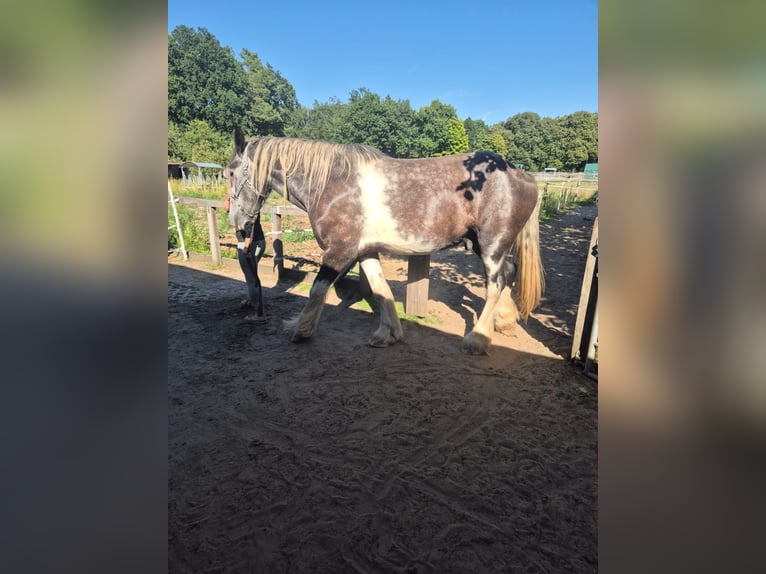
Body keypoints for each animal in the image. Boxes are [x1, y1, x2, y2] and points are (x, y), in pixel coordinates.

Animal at [225, 128, 544, 355]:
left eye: (229, 173)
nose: (239, 224)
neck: (331, 184)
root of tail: (521, 174)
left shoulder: (339, 251)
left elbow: (317, 290)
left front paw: (299, 330)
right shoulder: (365, 251)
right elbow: (381, 288)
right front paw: (388, 334)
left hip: (492, 246)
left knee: (495, 285)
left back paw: (477, 340)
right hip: (486, 245)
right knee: (509, 274)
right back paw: (503, 321)